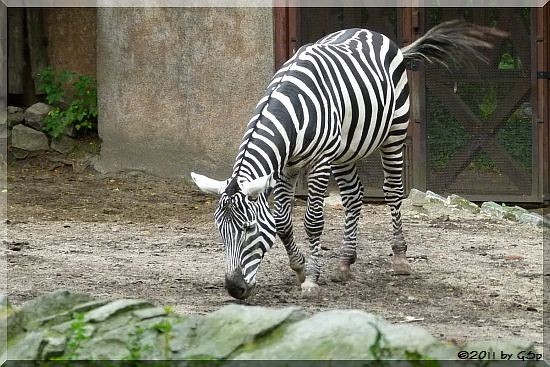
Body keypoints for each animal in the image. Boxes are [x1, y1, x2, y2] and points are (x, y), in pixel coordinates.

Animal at [191, 21, 504, 300]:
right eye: (220, 231)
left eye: (248, 229)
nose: (234, 289)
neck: (292, 110)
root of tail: (372, 32)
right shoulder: (286, 166)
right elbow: (281, 220)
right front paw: (300, 267)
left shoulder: (319, 161)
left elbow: (313, 221)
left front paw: (311, 279)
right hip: (345, 150)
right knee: (354, 195)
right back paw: (344, 262)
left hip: (394, 132)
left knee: (393, 192)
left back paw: (400, 259)